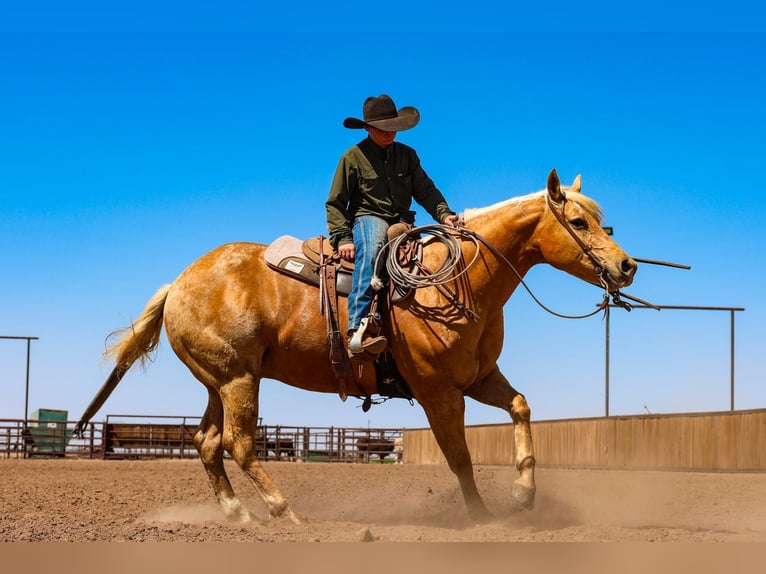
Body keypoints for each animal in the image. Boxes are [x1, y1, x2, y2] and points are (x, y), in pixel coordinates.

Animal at [75, 169, 636, 524]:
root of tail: (179, 282)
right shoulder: (437, 391)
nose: (626, 265)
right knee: (238, 444)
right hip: (237, 380)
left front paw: (523, 495)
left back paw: (238, 515)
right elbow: (459, 458)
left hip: (220, 382)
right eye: (579, 222)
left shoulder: (477, 378)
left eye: (600, 220)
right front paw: (481, 517)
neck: (456, 279)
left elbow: (520, 407)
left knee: (208, 443)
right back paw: (283, 512)